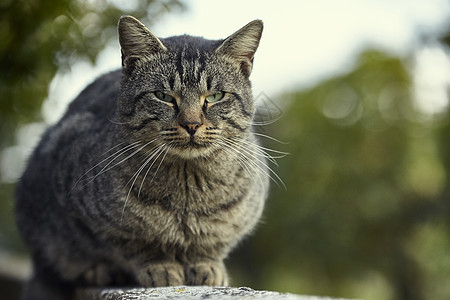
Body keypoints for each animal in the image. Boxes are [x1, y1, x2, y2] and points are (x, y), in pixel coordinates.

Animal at [15, 15, 270, 298]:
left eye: (215, 96)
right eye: (163, 96)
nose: (191, 124)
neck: (187, 191)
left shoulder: (239, 220)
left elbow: (212, 244)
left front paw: (206, 265)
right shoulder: (87, 214)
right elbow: (135, 244)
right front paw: (159, 266)